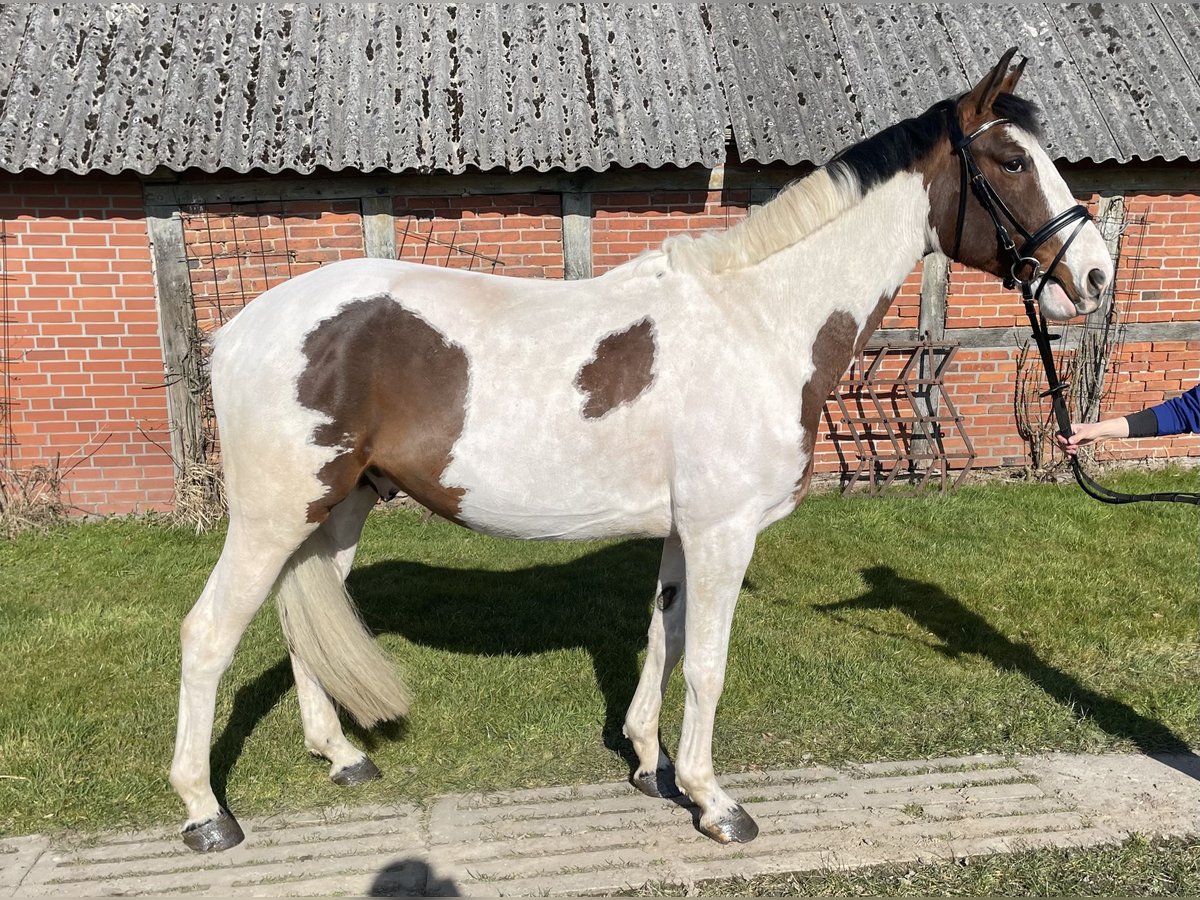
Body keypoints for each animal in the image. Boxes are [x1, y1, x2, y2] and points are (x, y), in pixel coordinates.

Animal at [171, 49, 1113, 854]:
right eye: (1012, 162)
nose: (1097, 277)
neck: (758, 323)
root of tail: (240, 331)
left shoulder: (684, 532)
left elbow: (665, 636)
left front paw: (654, 769)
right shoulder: (724, 532)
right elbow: (707, 665)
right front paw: (717, 803)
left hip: (339, 509)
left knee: (304, 625)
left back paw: (341, 756)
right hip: (274, 515)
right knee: (209, 633)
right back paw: (206, 813)